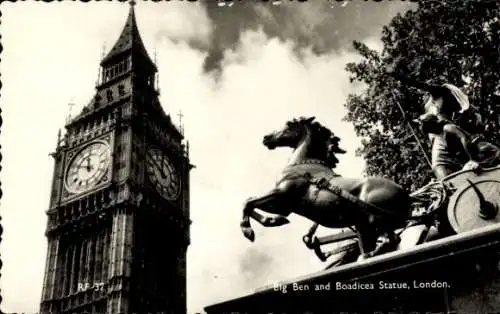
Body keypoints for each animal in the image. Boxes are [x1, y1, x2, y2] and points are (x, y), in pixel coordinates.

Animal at [240, 116, 412, 258]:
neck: (304, 165)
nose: (266, 138)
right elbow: (252, 203)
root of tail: (406, 195)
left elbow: (247, 202)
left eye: (289, 124)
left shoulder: (281, 196)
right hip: (364, 224)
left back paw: (368, 256)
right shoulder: (284, 206)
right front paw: (273, 220)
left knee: (391, 239)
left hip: (376, 218)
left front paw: (250, 230)